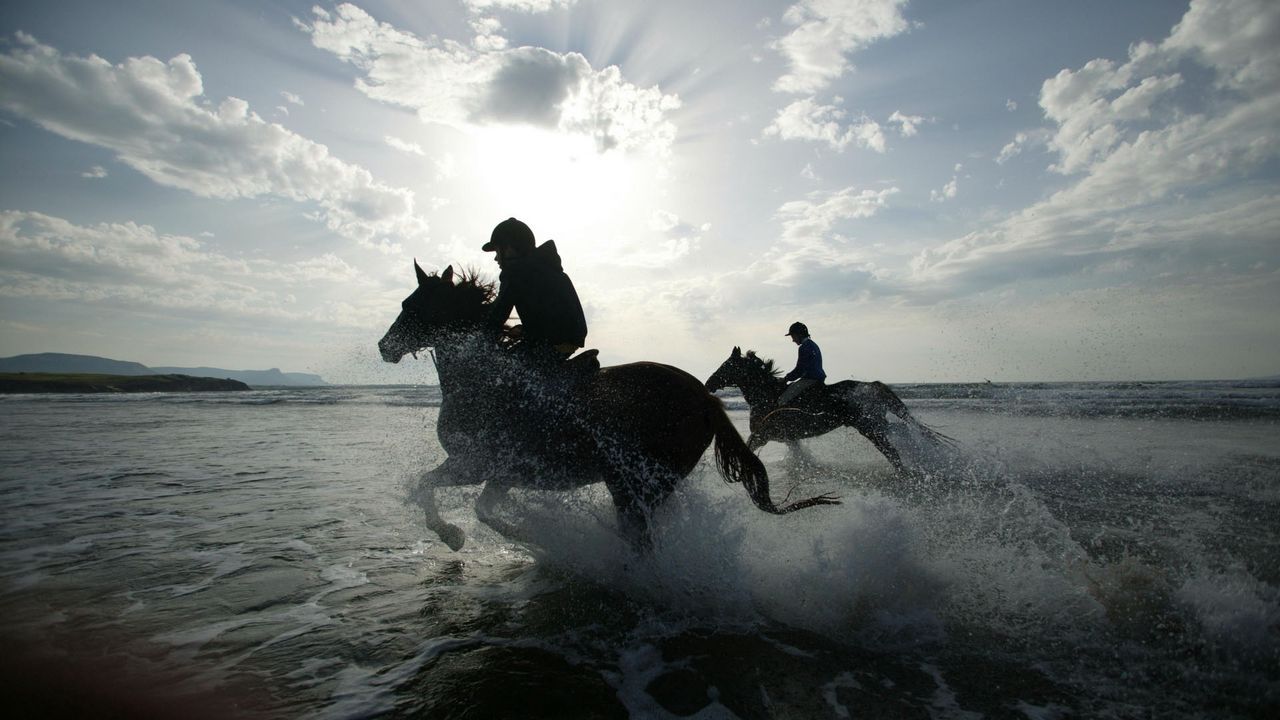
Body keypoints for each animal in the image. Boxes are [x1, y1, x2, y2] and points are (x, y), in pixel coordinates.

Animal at [376, 263, 839, 548]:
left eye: (410, 304)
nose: (385, 346)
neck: (483, 379)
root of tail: (706, 397)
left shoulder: (473, 464)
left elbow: (426, 486)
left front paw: (453, 535)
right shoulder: (501, 474)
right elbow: (482, 508)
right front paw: (524, 535)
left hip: (634, 483)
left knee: (641, 537)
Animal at [706, 345, 957, 474]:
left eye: (727, 365)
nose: (709, 383)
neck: (767, 396)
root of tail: (871, 386)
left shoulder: (763, 435)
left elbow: (747, 447)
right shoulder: (789, 438)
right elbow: (798, 455)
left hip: (869, 427)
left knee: (893, 452)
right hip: (877, 423)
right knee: (901, 433)